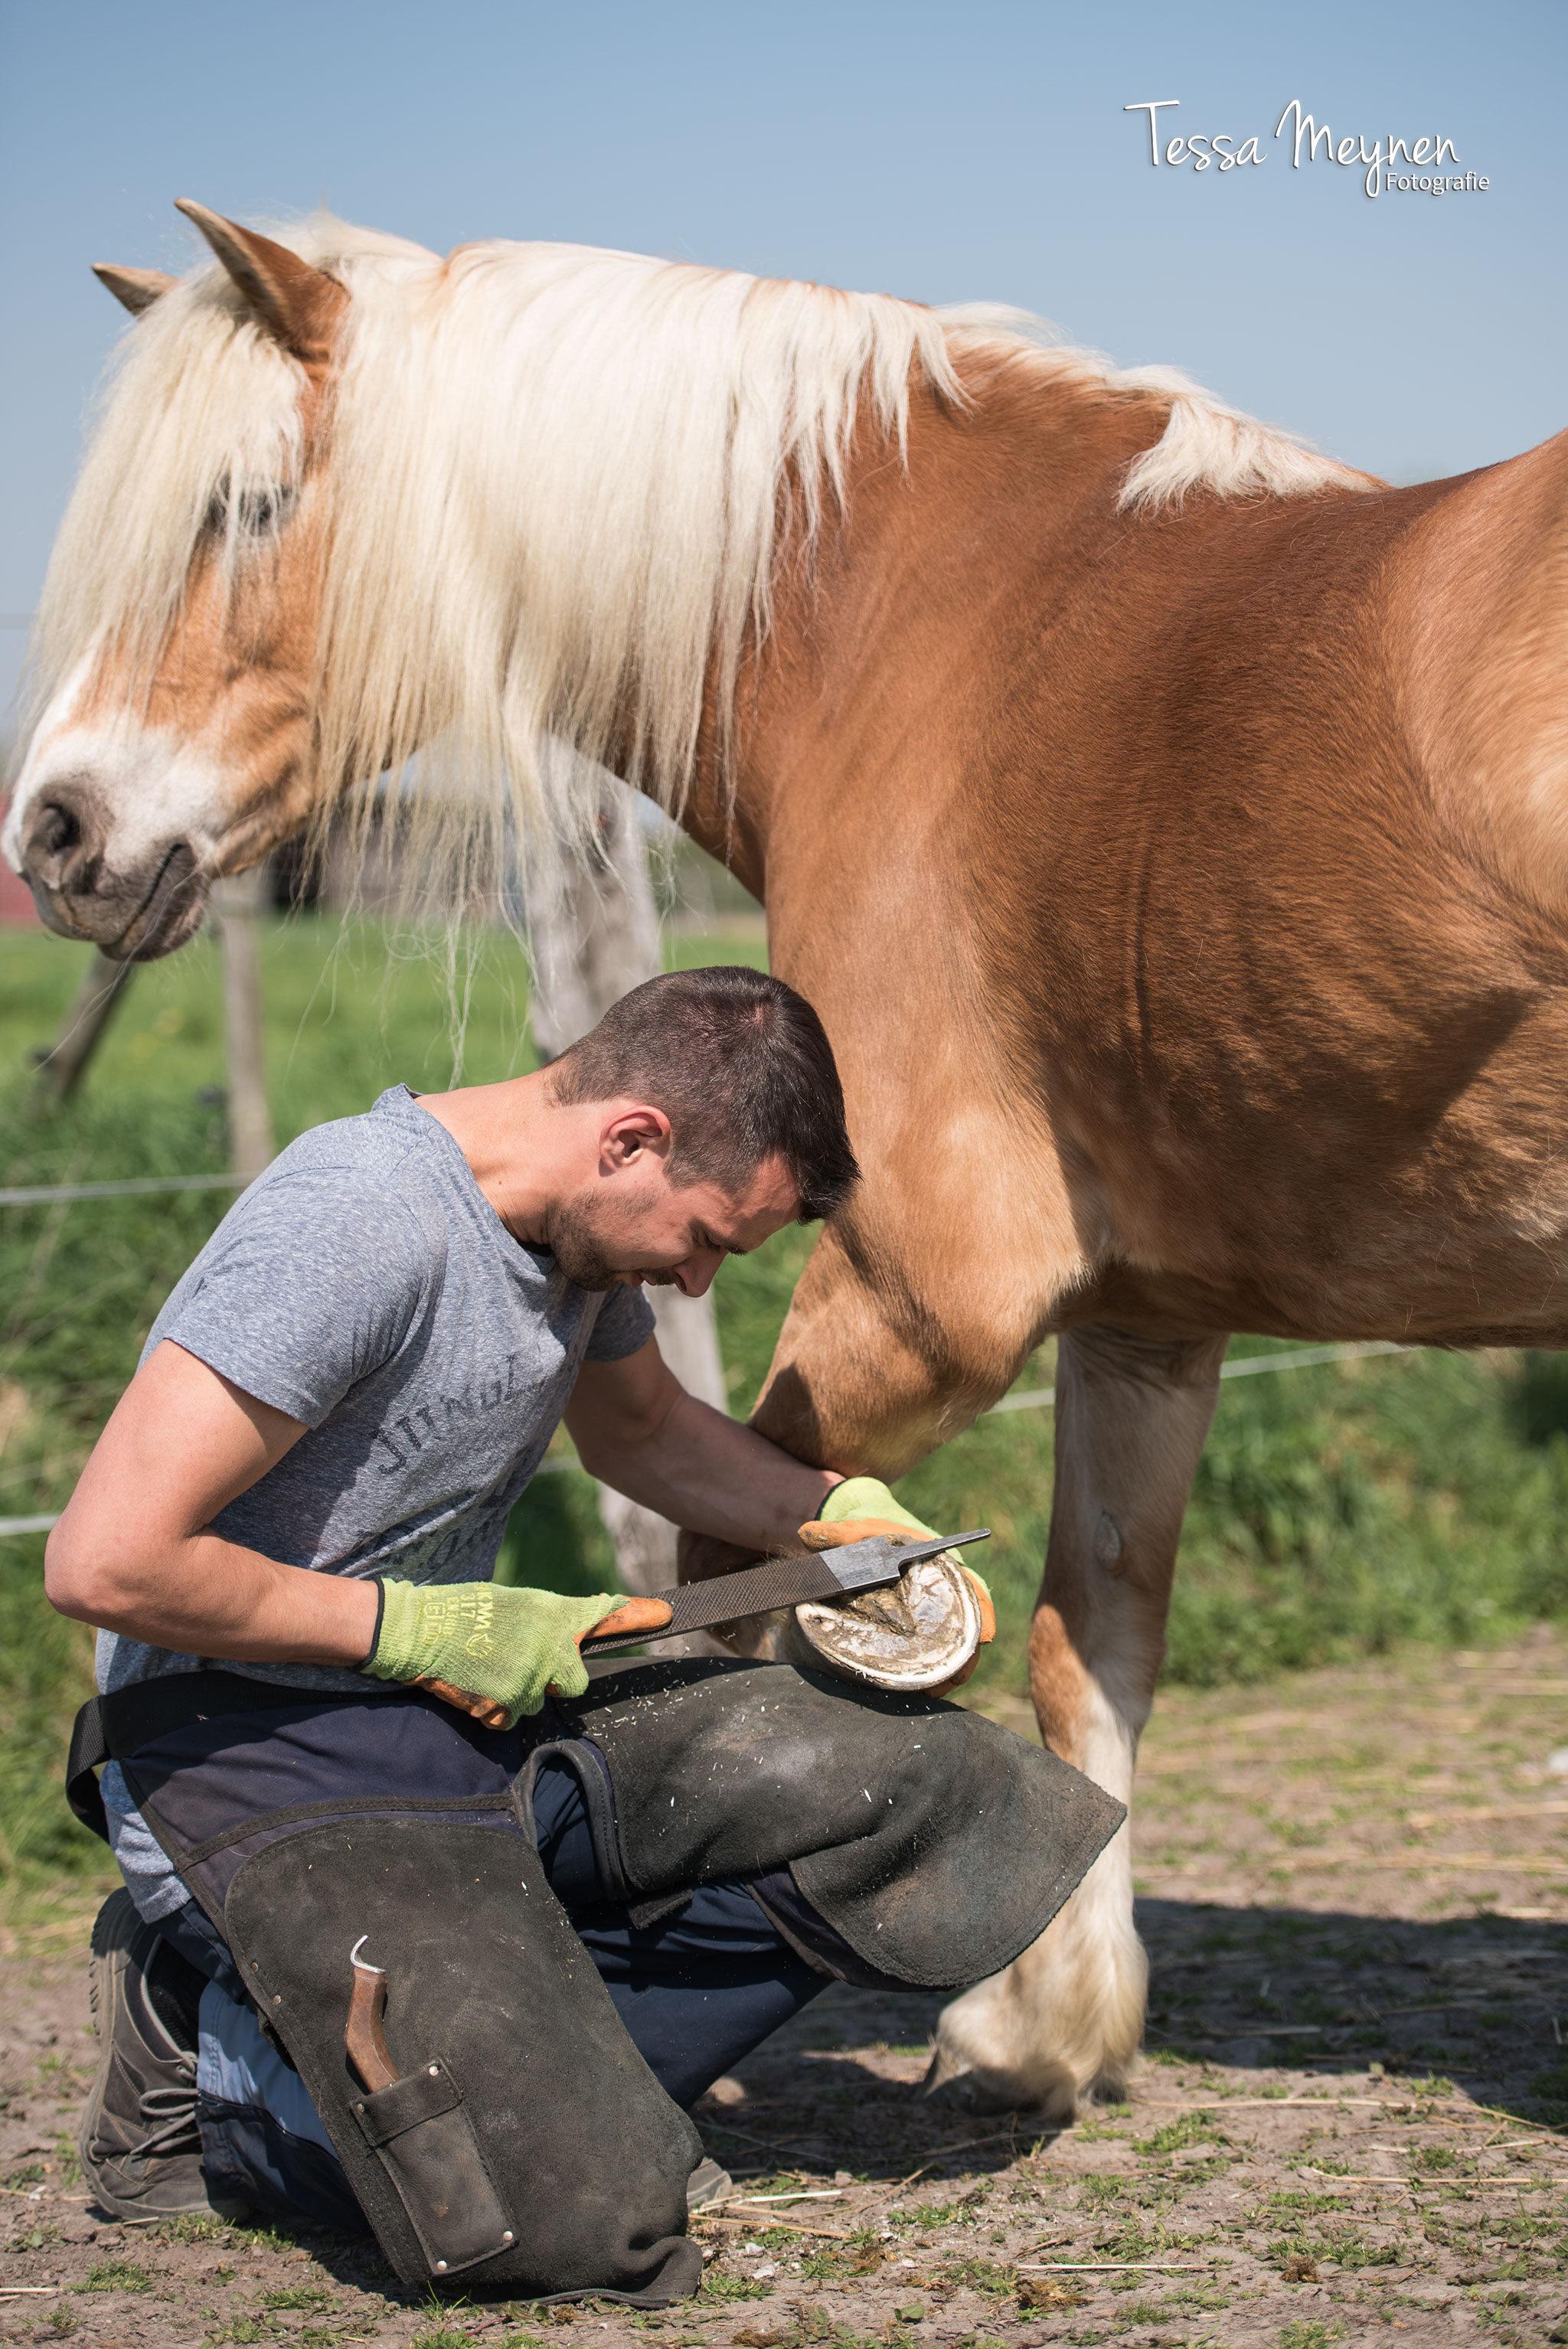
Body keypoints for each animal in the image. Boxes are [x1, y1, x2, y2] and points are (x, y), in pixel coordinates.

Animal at [12, 197, 1568, 2114]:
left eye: (237, 502)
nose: (54, 831)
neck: (945, 624)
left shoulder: (923, 1295)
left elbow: (729, 1591)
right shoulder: (1144, 1315)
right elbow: (1086, 1643)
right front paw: (1049, 2020)